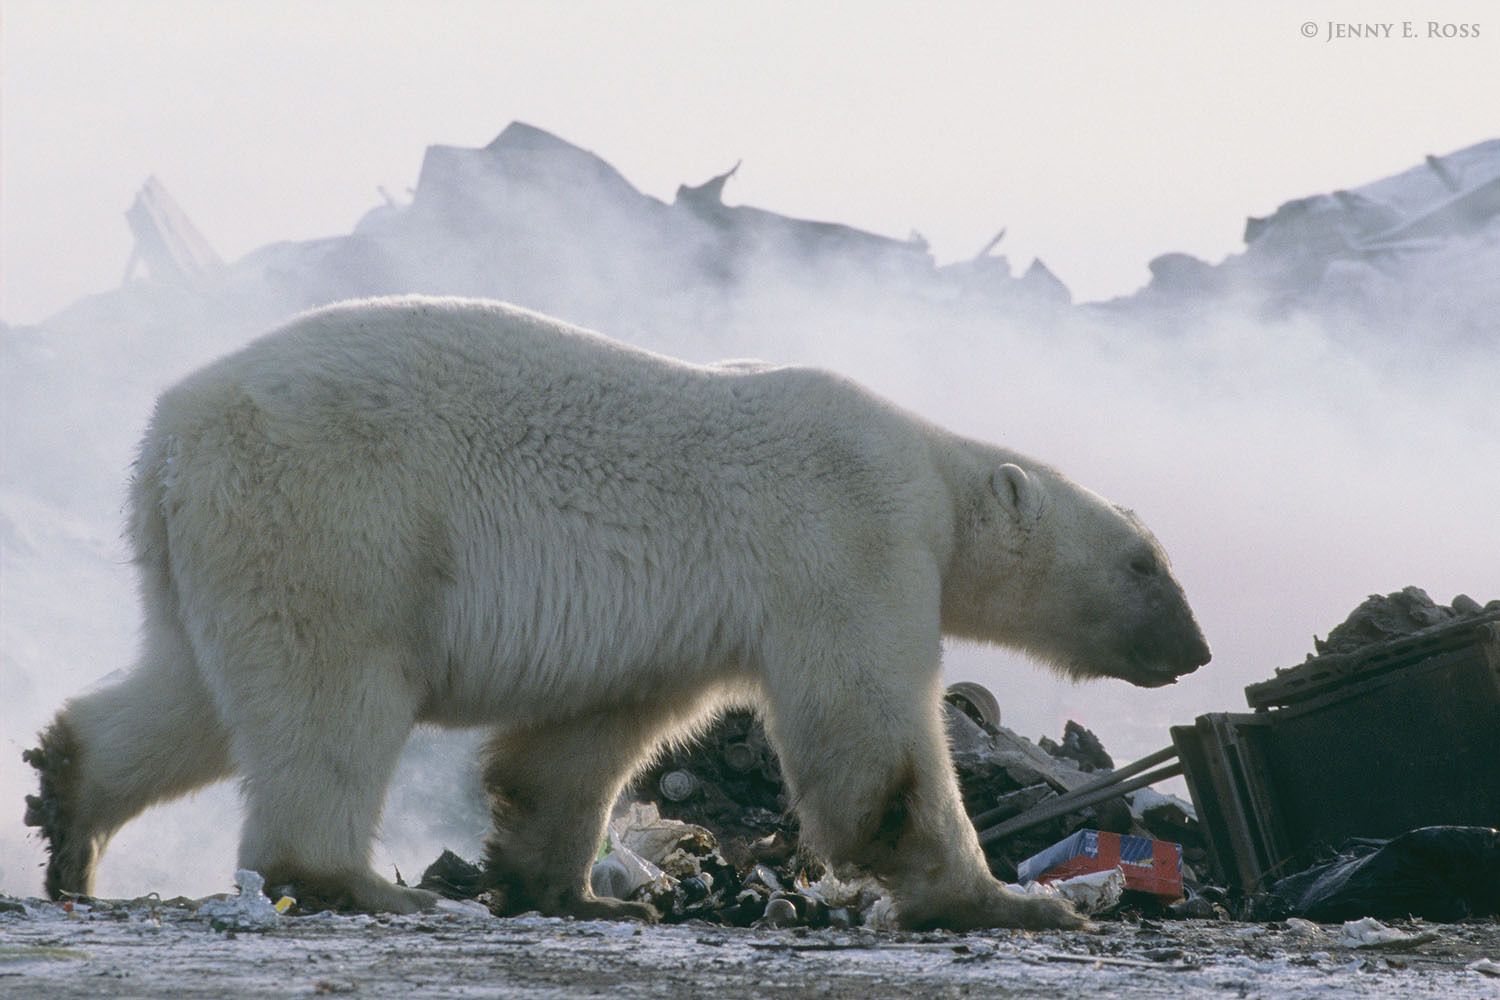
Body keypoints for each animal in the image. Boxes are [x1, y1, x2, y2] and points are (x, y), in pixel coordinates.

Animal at [24, 296, 1210, 929]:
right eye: (1146, 562)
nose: (1198, 650)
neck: (931, 469)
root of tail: (166, 437)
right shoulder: (848, 536)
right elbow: (872, 744)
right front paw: (1010, 900)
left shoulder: (679, 619)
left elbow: (585, 739)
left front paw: (580, 891)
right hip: (334, 512)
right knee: (332, 689)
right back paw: (358, 882)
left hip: (220, 542)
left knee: (191, 691)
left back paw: (66, 807)